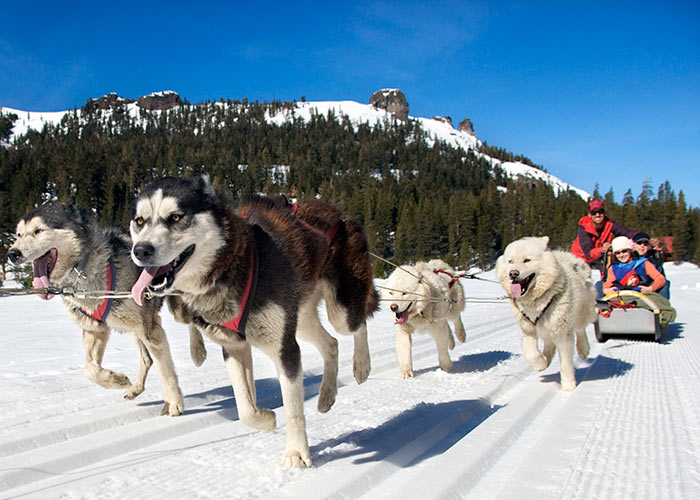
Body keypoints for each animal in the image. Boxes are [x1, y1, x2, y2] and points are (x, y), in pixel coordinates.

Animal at [6, 201, 204, 416]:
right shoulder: (95, 329)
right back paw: (135, 387)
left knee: (192, 320)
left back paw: (198, 351)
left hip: (171, 311)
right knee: (146, 359)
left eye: (38, 230)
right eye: (18, 235)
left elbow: (165, 369)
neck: (86, 271)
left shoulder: (150, 328)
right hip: (132, 329)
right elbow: (90, 369)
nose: (12, 253)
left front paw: (174, 403)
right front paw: (115, 379)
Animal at [132, 174, 380, 466]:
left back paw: (362, 366)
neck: (231, 265)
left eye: (175, 217)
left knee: (358, 324)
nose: (141, 250)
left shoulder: (285, 349)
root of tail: (338, 214)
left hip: (341, 310)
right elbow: (245, 408)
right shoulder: (234, 347)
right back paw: (326, 395)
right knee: (331, 344)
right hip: (301, 322)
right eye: (139, 221)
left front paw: (296, 453)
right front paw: (267, 418)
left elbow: (293, 410)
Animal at [492, 237, 596, 390]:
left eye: (527, 260)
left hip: (582, 312)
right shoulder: (529, 331)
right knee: (549, 344)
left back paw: (583, 349)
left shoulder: (563, 334)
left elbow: (565, 362)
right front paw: (541, 362)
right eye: (510, 261)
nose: (513, 273)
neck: (535, 302)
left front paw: (568, 385)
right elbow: (531, 354)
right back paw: (546, 358)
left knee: (580, 329)